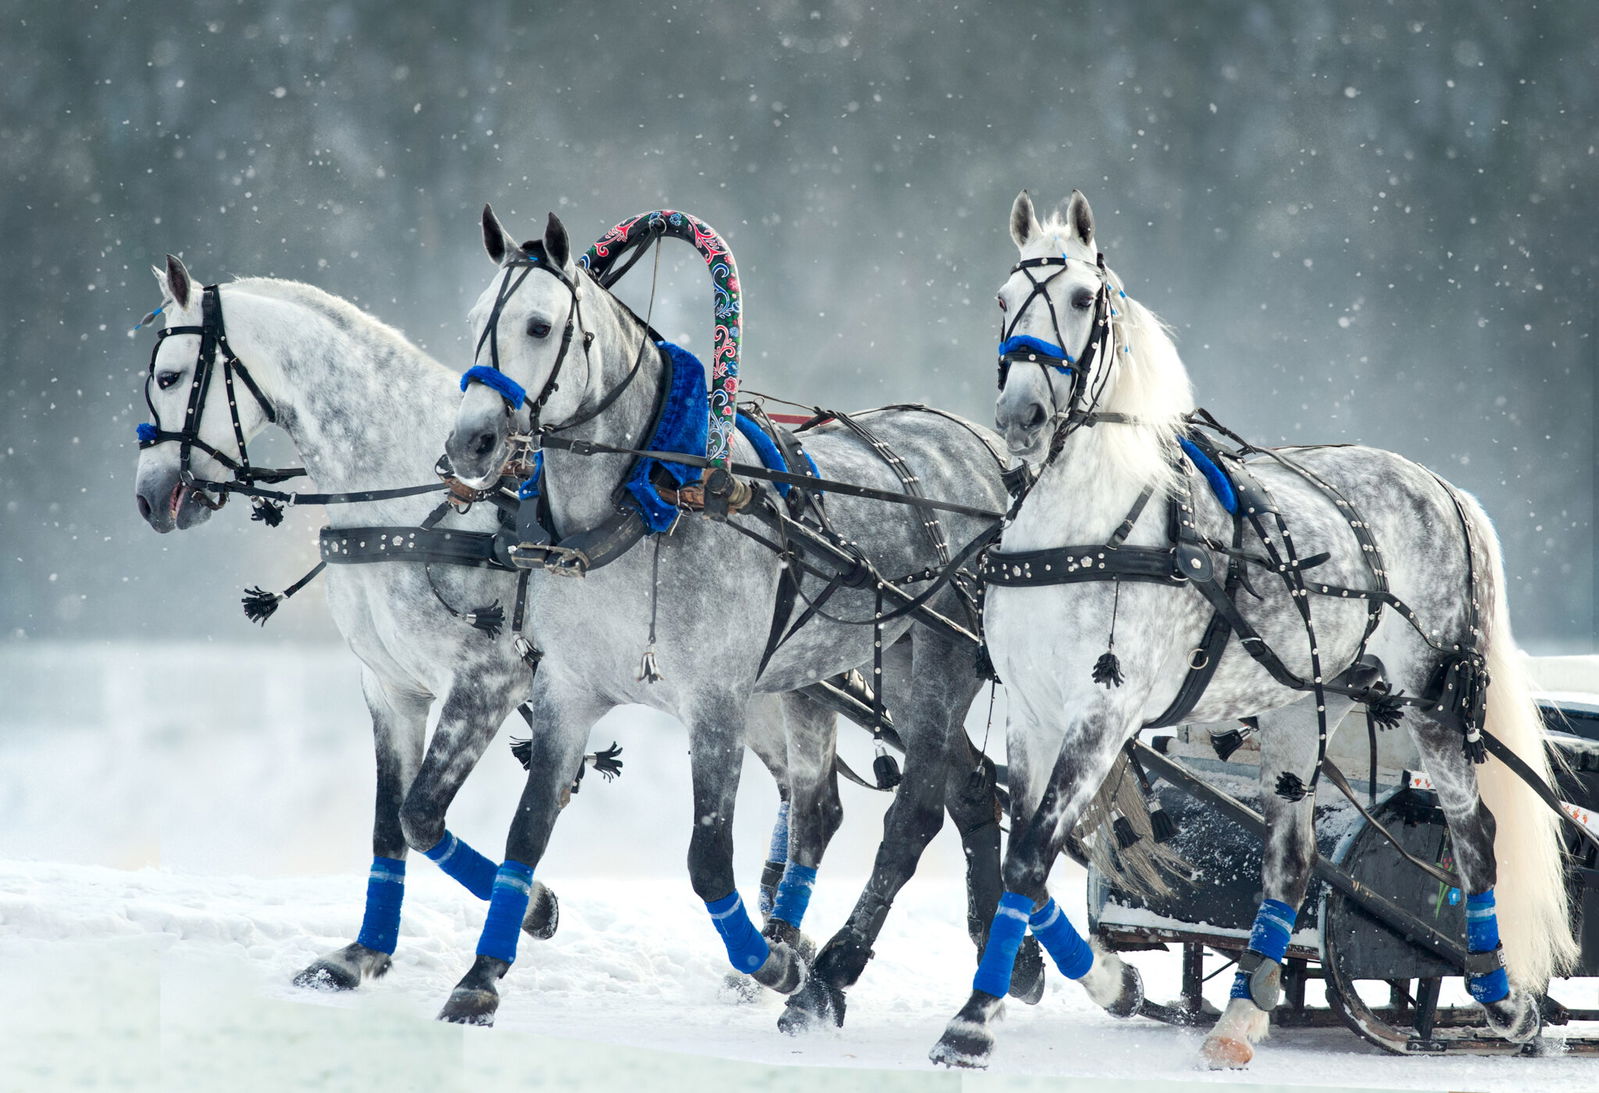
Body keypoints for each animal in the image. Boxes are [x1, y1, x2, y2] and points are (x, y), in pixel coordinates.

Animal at [129, 256, 835, 995]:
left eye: (170, 376)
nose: (151, 496)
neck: (415, 502)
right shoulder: (390, 690)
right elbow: (389, 823)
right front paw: (361, 954)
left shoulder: (484, 682)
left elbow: (420, 814)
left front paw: (536, 907)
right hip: (757, 695)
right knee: (807, 795)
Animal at [436, 205, 1057, 1030]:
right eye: (476, 321)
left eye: (538, 325)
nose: (468, 440)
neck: (650, 495)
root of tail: (991, 452)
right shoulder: (566, 690)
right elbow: (528, 829)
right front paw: (482, 973)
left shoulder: (717, 702)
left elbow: (707, 860)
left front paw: (773, 962)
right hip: (887, 669)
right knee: (970, 785)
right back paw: (1009, 954)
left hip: (941, 655)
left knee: (917, 810)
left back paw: (832, 972)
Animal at [928, 189, 1577, 1068]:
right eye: (1002, 300)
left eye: (1083, 298)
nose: (1022, 415)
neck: (1087, 526)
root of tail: (1442, 489)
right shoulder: (1031, 714)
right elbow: (1015, 860)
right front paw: (1105, 981)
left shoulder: (1102, 712)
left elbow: (1030, 855)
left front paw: (971, 1019)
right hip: (1300, 706)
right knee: (1292, 859)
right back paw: (1240, 1016)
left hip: (1432, 700)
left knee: (1473, 831)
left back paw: (1501, 998)